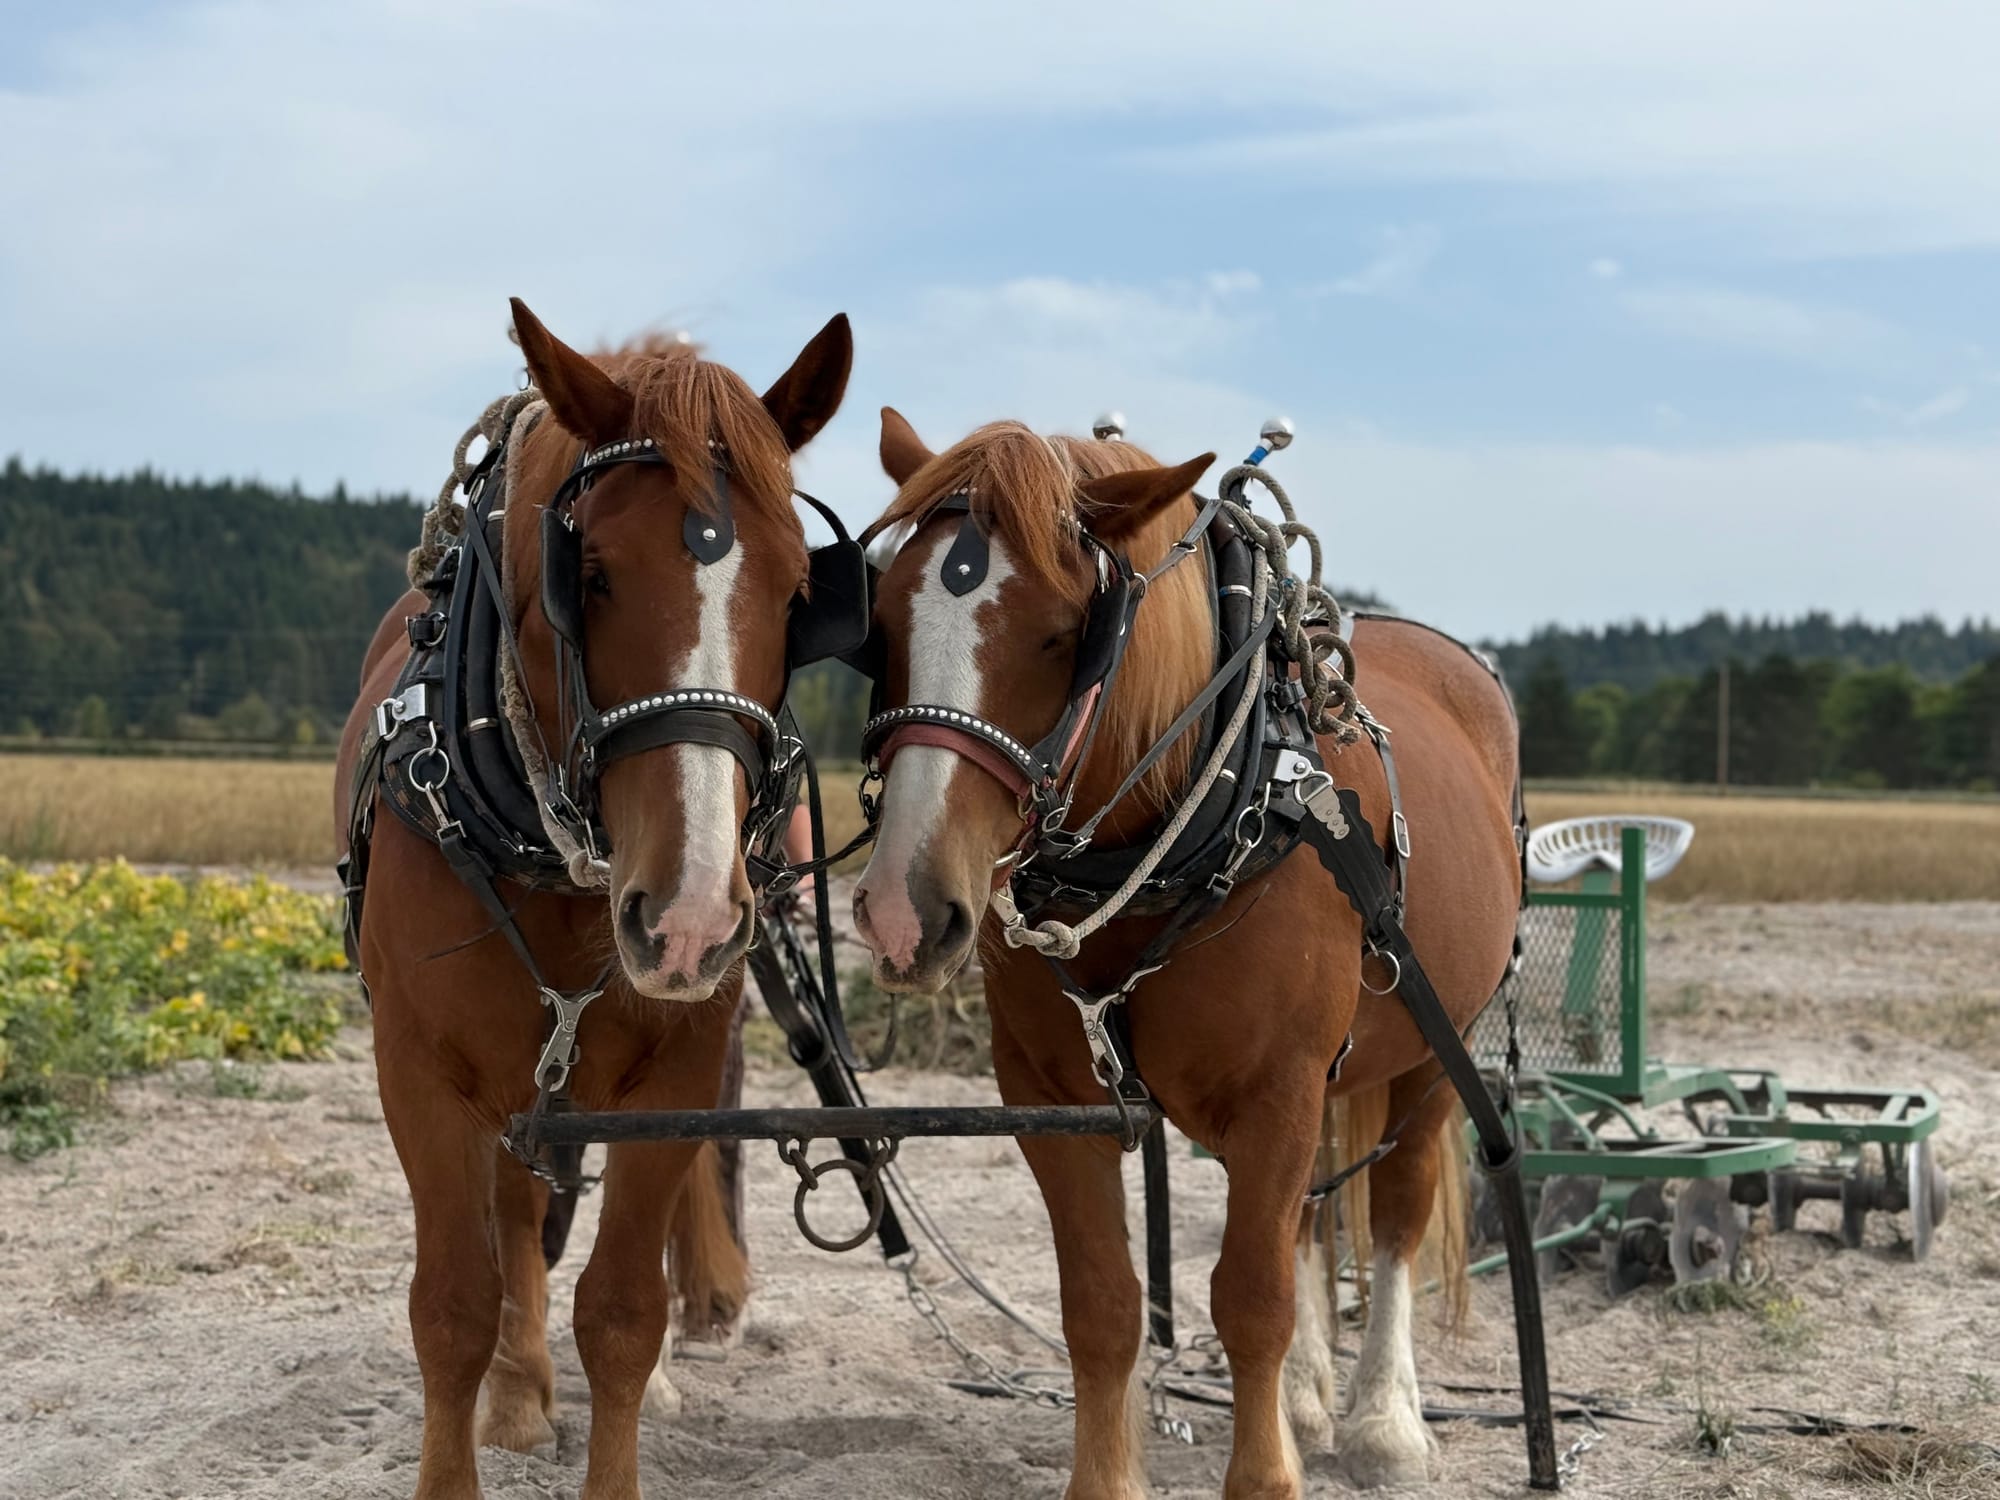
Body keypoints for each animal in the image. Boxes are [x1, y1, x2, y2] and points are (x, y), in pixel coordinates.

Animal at [333, 300, 853, 1500]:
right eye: (595, 575)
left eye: (801, 592)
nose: (691, 917)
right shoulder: (421, 1072)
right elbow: (453, 1306)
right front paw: (492, 1406)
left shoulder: (676, 1065)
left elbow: (620, 1312)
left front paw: (639, 1374)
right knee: (519, 1218)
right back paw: (521, 1393)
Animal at [849, 412, 1519, 1497]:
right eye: (883, 625)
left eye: (1060, 634)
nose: (904, 909)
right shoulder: (1053, 1098)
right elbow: (1103, 1304)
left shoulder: (1280, 1087)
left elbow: (1249, 1299)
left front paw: (1270, 1471)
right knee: (1305, 1218)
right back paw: (1306, 1400)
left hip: (1430, 1051)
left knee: (1394, 1212)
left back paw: (1382, 1418)